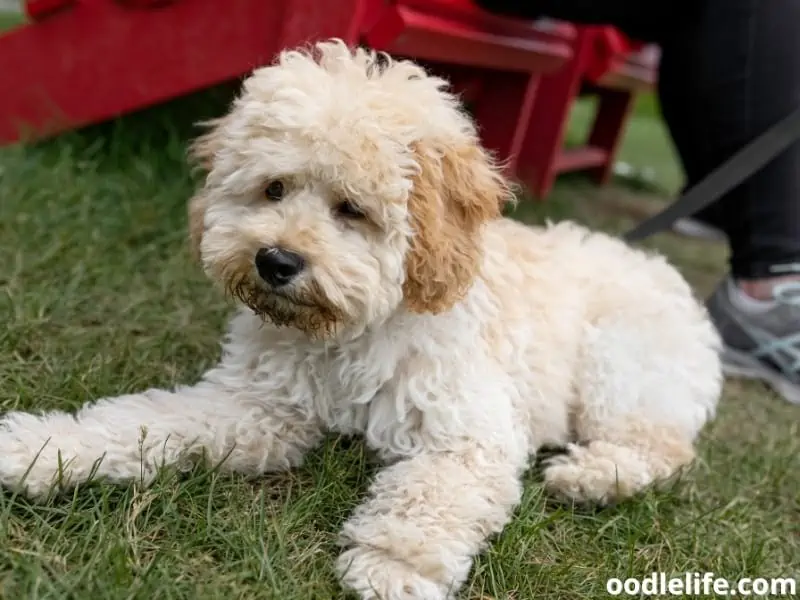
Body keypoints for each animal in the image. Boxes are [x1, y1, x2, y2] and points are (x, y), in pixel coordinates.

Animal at [0, 39, 720, 596]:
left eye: (352, 209)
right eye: (274, 188)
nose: (276, 260)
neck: (348, 334)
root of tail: (658, 268)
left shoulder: (468, 427)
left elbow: (433, 491)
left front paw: (390, 564)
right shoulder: (258, 407)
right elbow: (146, 421)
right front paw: (44, 449)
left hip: (622, 367)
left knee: (662, 445)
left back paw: (589, 477)